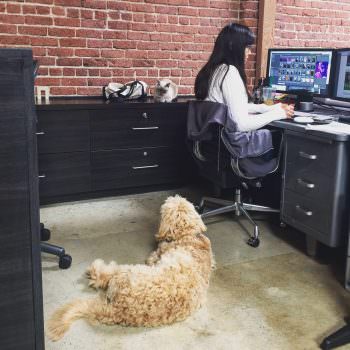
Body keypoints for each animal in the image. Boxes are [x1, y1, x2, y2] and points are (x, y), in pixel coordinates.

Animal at [47, 196, 215, 340]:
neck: (188, 235)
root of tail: (117, 311)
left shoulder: (154, 256)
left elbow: (153, 256)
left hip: (127, 270)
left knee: (103, 277)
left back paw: (95, 270)